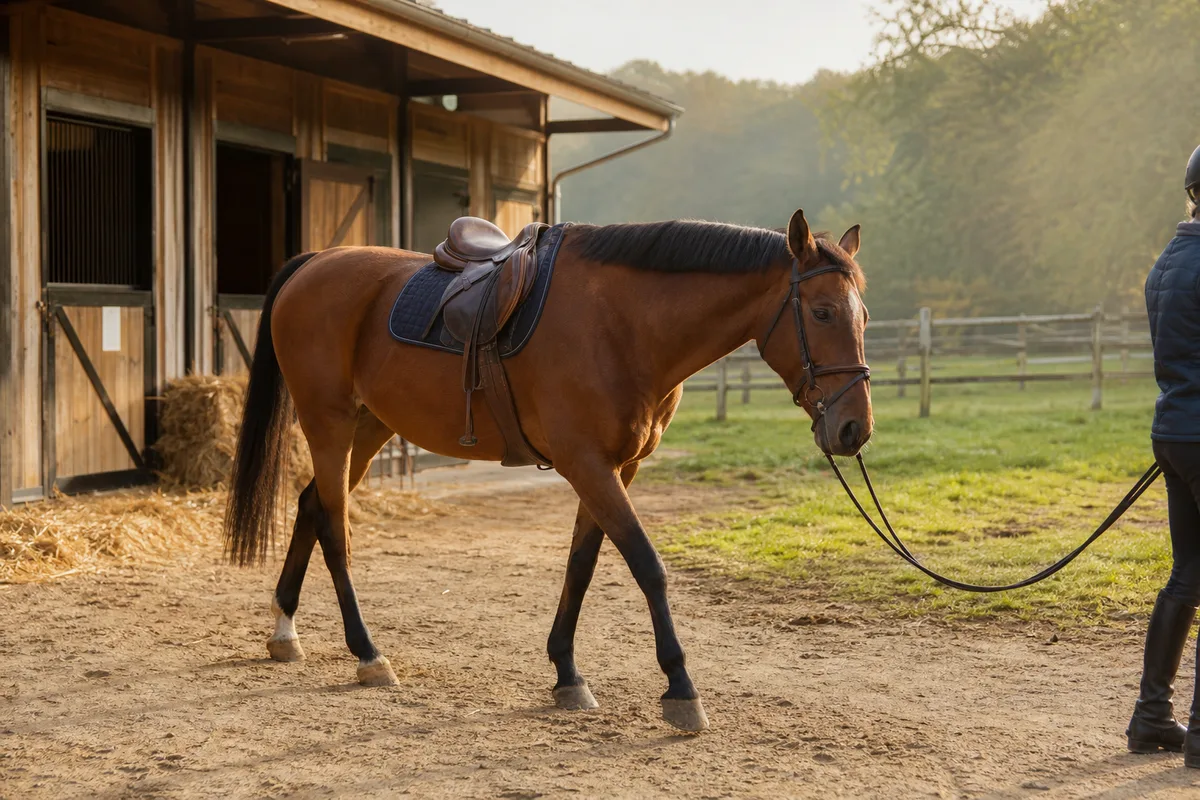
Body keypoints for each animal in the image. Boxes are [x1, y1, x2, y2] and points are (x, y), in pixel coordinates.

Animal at [222, 208, 873, 731]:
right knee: (335, 527)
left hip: (368, 427)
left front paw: (567, 673)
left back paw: (284, 631)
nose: (853, 430)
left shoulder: (616, 469)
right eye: (821, 312)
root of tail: (316, 263)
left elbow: (581, 564)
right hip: (327, 422)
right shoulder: (587, 464)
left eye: (863, 315)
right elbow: (647, 565)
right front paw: (681, 689)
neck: (624, 325)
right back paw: (367, 653)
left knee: (311, 505)